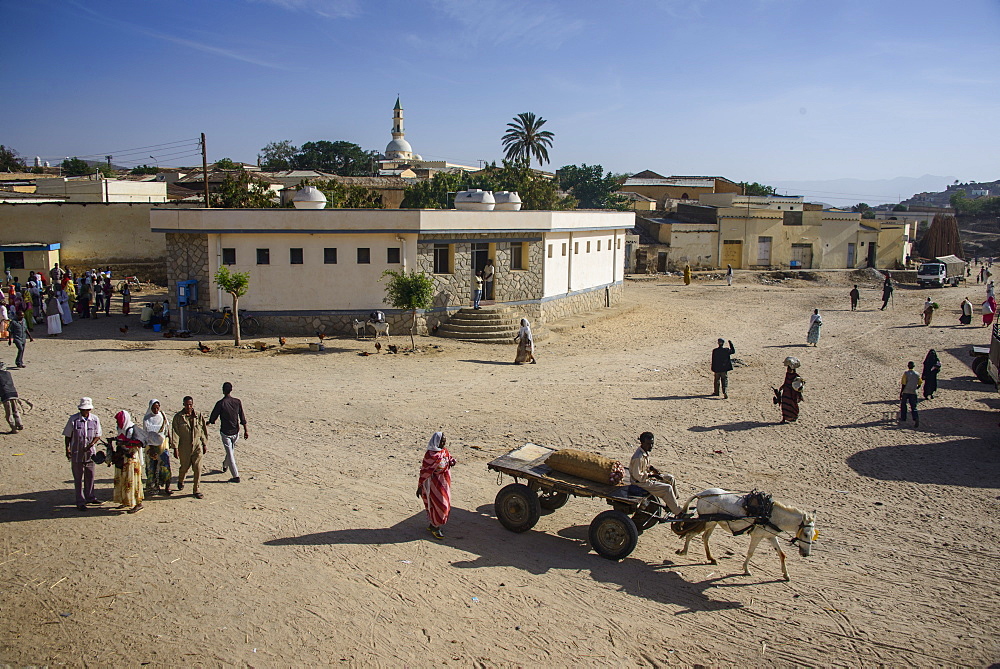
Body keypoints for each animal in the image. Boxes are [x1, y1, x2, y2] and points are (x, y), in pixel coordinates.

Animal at [672, 486, 820, 580]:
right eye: (806, 534)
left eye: (813, 535)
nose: (806, 554)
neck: (770, 514)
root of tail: (702, 494)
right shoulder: (757, 535)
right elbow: (750, 553)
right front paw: (746, 569)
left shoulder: (770, 536)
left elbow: (782, 554)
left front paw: (786, 575)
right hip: (707, 522)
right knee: (691, 534)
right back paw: (684, 551)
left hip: (713, 522)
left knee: (704, 537)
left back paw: (711, 558)